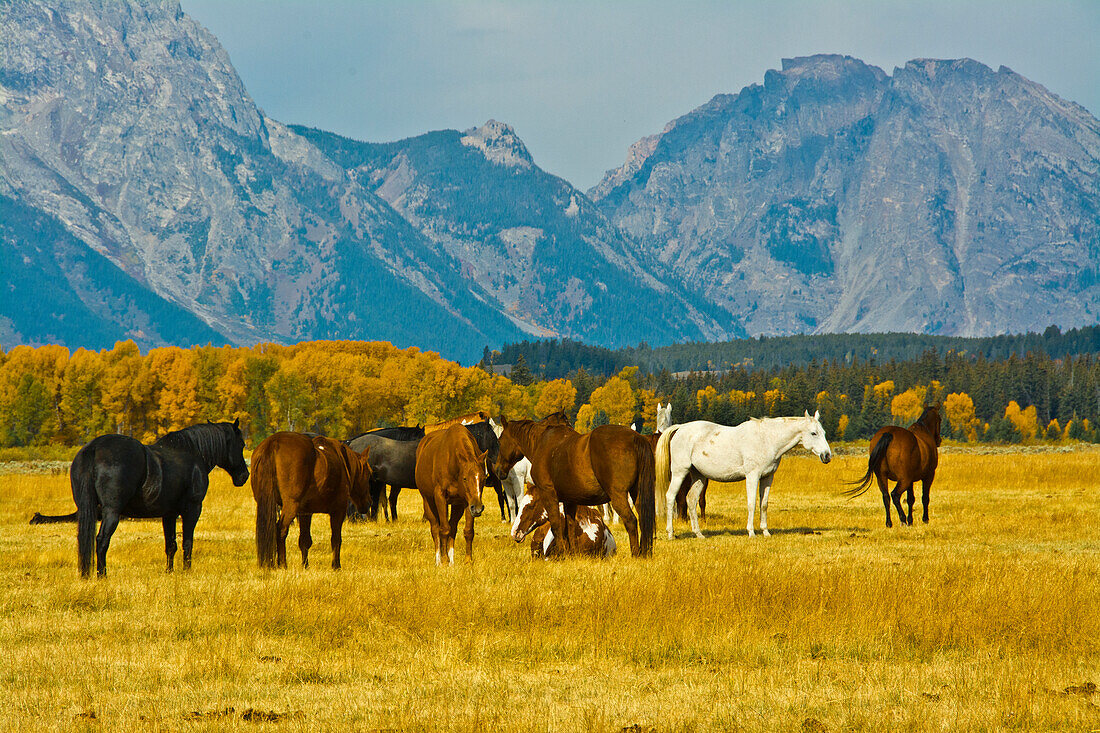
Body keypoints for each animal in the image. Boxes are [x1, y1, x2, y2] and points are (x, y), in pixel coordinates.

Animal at [74, 416, 250, 576]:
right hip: (111, 512)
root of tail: (94, 448)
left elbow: (171, 544)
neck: (193, 453)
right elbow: (187, 542)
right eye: (241, 444)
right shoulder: (192, 509)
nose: (244, 476)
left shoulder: (169, 514)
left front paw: (169, 571)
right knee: (102, 540)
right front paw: (187, 571)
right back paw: (102, 575)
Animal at [251, 431, 371, 567]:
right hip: (290, 506)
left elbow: (305, 540)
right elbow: (336, 539)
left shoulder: (305, 512)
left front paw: (305, 565)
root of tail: (273, 443)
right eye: (368, 474)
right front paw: (336, 566)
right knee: (281, 530)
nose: (368, 503)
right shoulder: (338, 510)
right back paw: (282, 564)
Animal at [413, 420, 488, 561]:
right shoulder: (440, 496)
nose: (478, 508)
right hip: (428, 501)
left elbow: (468, 531)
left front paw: (468, 561)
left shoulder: (467, 501)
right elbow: (443, 529)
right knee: (435, 527)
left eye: (483, 477)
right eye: (465, 478)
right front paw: (444, 560)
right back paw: (438, 558)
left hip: (457, 505)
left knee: (453, 526)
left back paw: (451, 559)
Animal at [497, 413, 651, 556]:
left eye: (499, 441)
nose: (498, 470)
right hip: (636, 493)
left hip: (618, 496)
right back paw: (645, 553)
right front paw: (572, 553)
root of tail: (635, 437)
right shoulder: (569, 500)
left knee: (631, 520)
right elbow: (569, 526)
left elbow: (556, 525)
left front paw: (562, 552)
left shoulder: (549, 495)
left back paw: (636, 554)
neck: (542, 443)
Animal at [651, 411, 831, 537]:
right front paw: (751, 532)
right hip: (680, 473)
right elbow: (751, 503)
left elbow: (763, 504)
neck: (767, 439)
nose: (827, 456)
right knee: (670, 497)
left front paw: (765, 532)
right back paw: (671, 533)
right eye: (814, 433)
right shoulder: (752, 476)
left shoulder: (767, 477)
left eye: (824, 432)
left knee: (691, 500)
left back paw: (699, 534)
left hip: (699, 477)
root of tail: (680, 428)